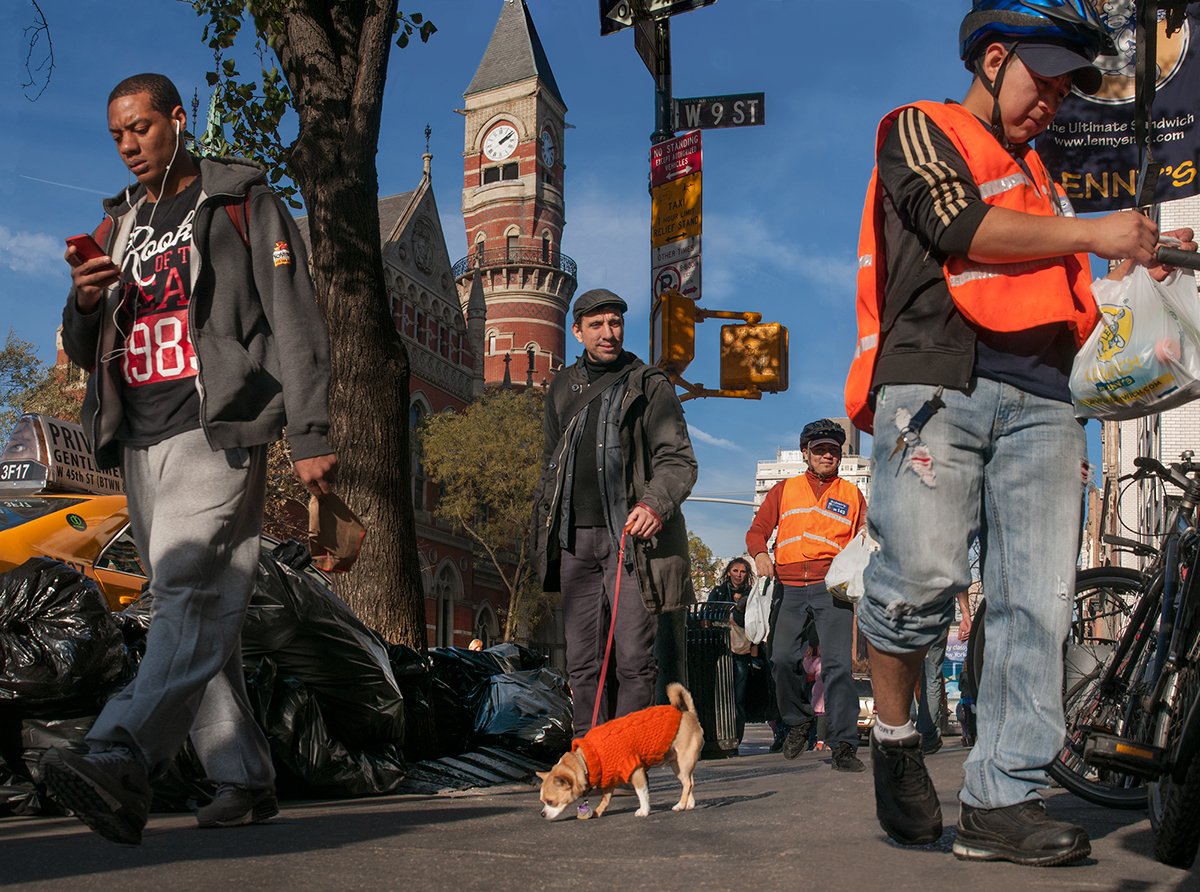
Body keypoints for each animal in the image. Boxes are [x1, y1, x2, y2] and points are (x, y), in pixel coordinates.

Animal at [535, 681, 700, 821]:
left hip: (683, 761)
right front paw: (598, 811)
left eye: (550, 801)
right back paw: (688, 804)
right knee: (689, 782)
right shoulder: (610, 779)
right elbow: (605, 798)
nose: (542, 814)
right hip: (677, 765)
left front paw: (644, 810)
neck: (585, 759)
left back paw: (680, 805)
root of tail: (689, 714)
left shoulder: (635, 771)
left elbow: (642, 793)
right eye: (542, 801)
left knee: (688, 783)